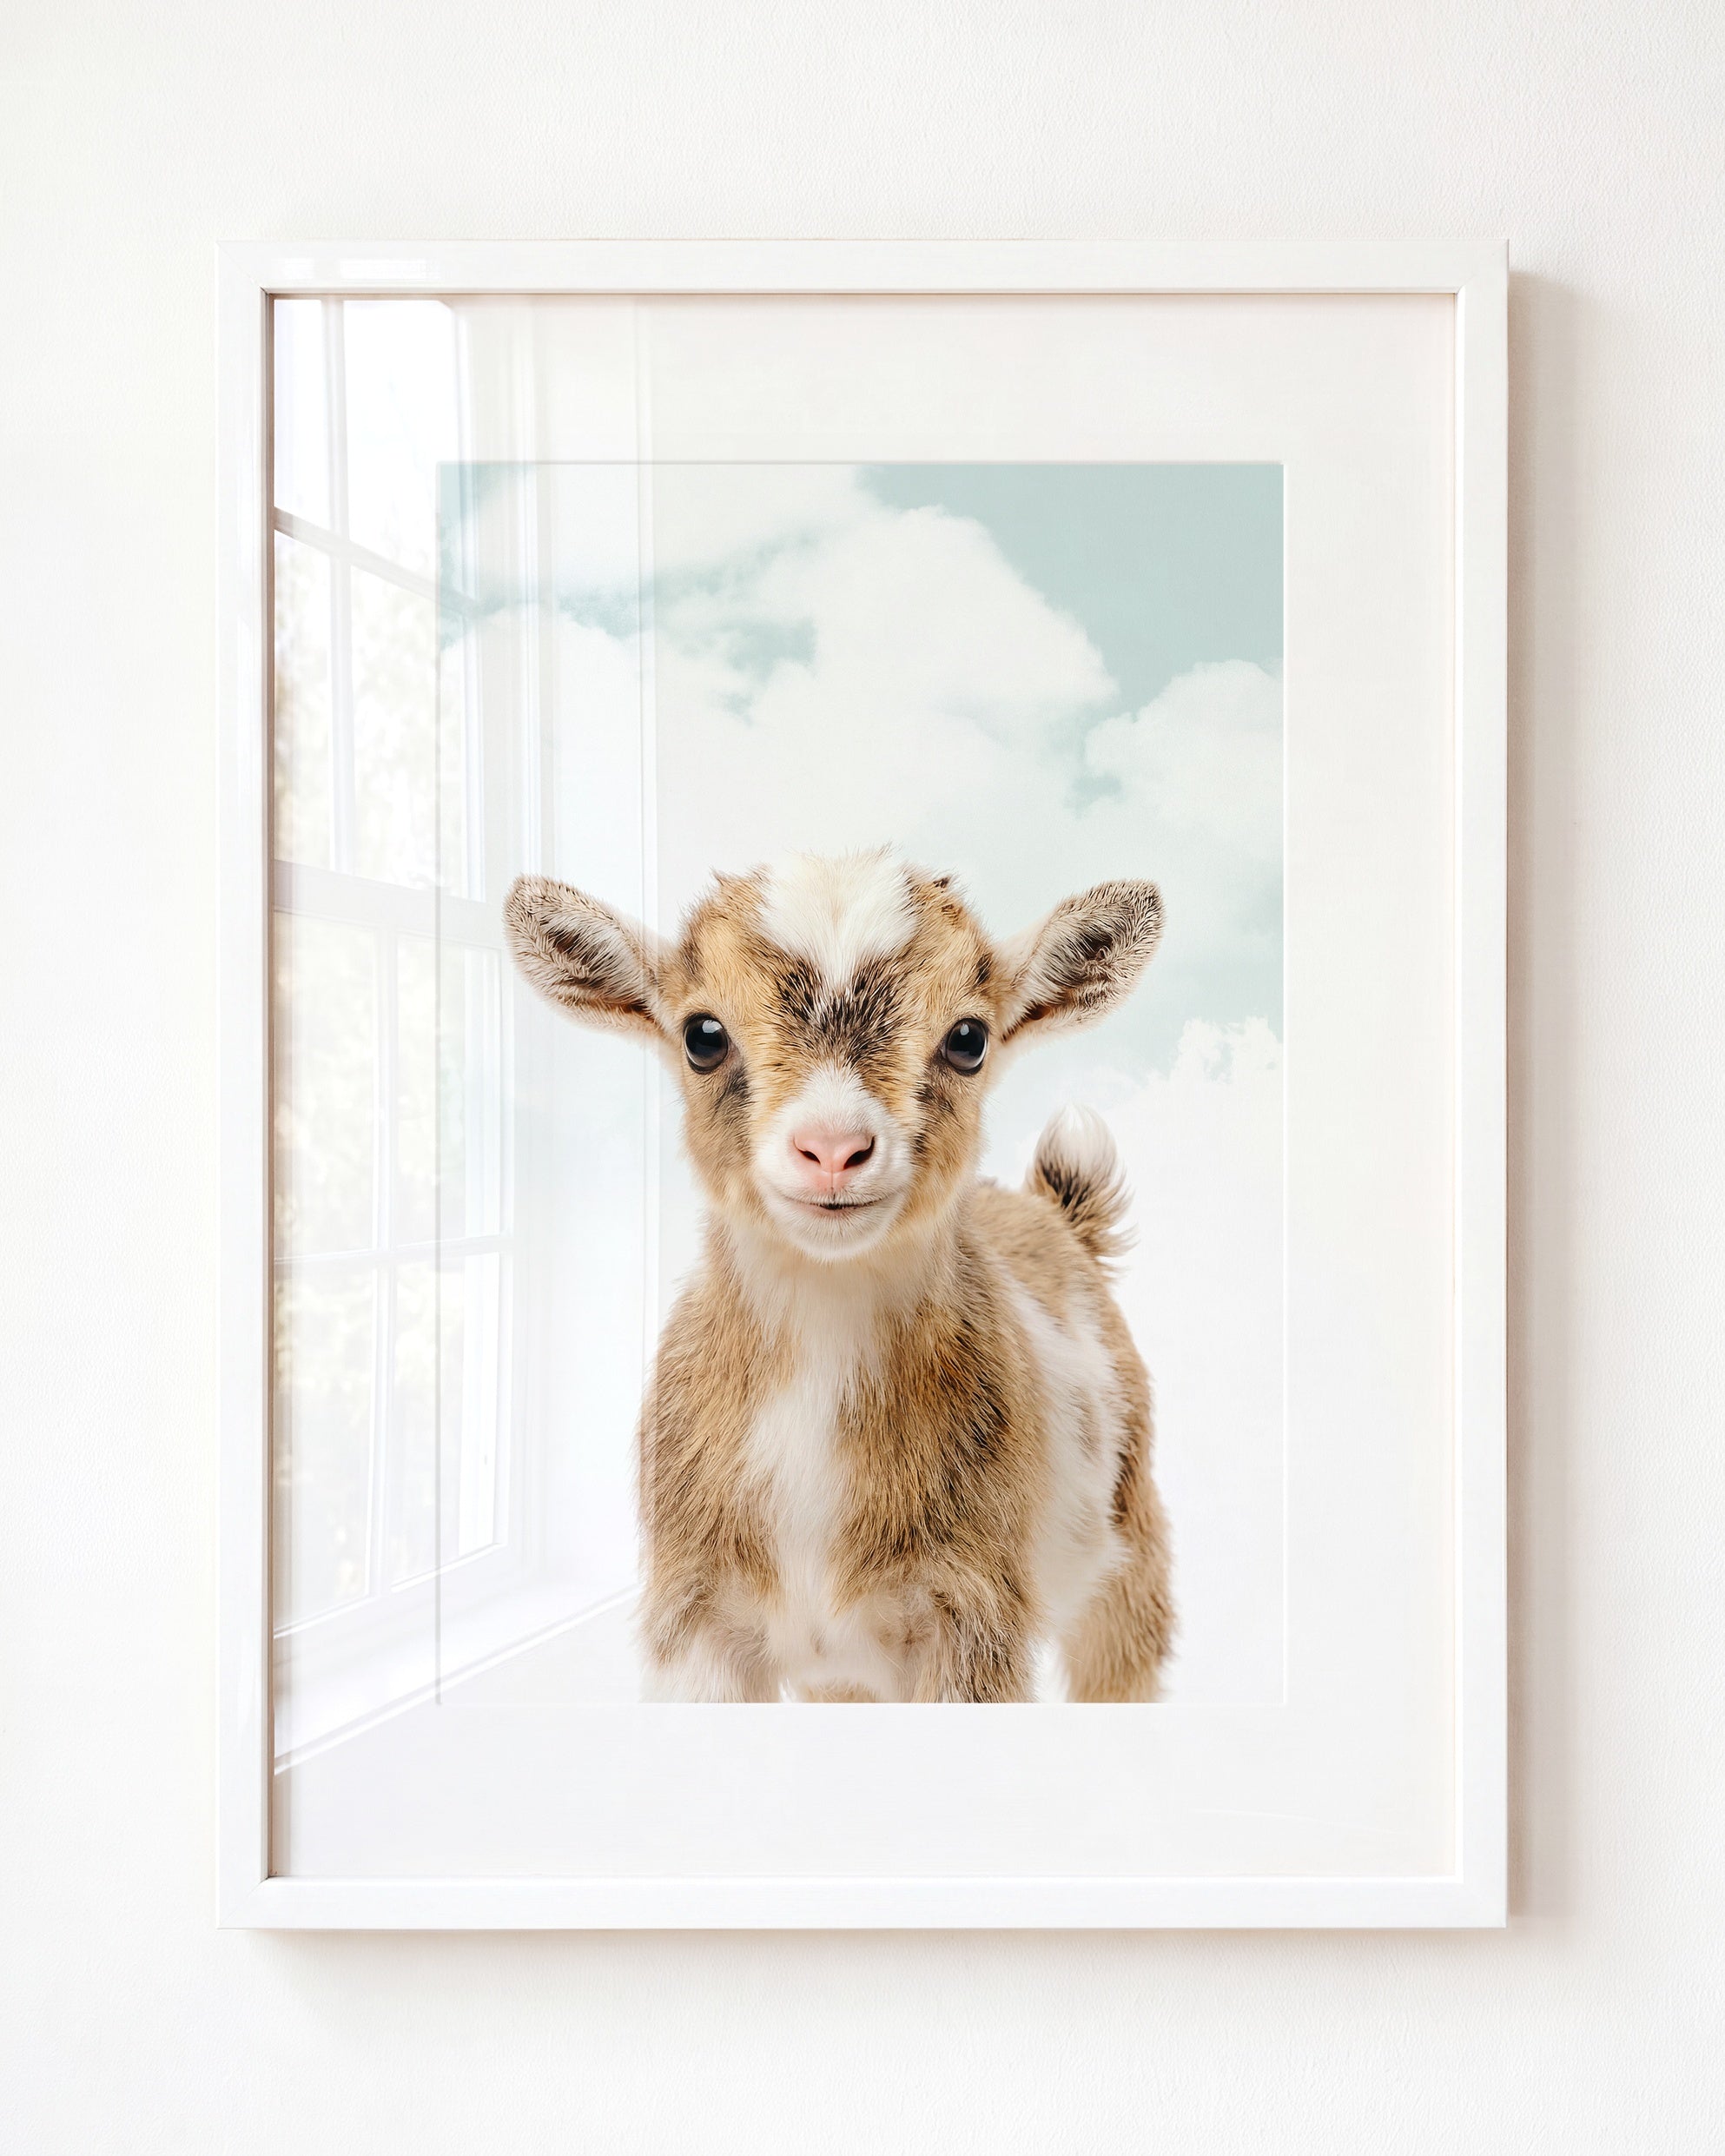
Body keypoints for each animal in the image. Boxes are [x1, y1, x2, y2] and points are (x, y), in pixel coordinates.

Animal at [504, 849, 1174, 1701]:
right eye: (702, 1035)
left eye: (968, 1038)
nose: (831, 1149)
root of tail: (1057, 1215)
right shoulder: (695, 1617)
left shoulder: (974, 1615)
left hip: (1132, 1549)